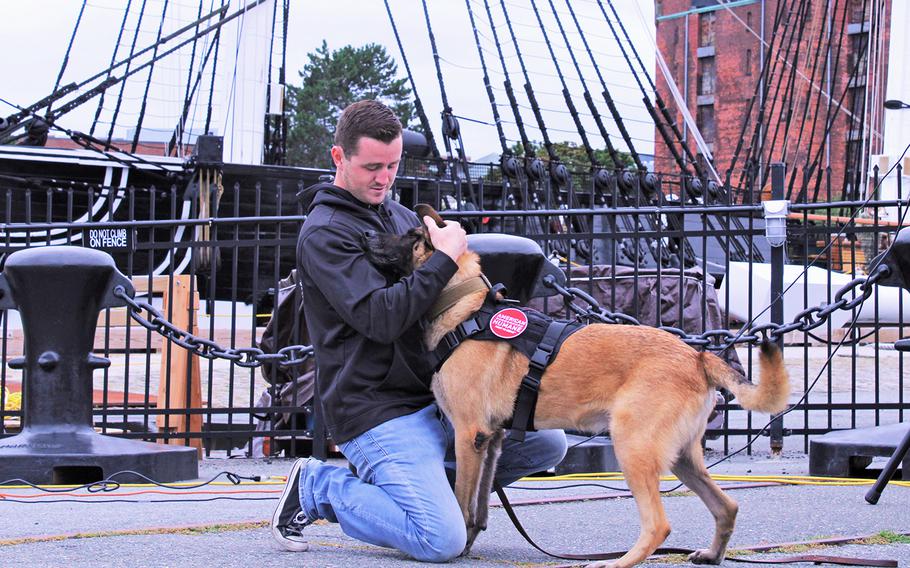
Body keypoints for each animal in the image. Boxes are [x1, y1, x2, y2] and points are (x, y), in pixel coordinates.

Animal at [358, 205, 792, 568]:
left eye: (412, 236)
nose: (365, 236)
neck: (465, 308)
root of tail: (696, 357)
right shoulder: (491, 440)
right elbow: (480, 505)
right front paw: (470, 539)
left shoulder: (469, 436)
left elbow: (463, 499)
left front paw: (460, 546)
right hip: (681, 457)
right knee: (727, 506)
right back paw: (712, 554)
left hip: (633, 447)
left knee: (658, 525)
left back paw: (615, 564)